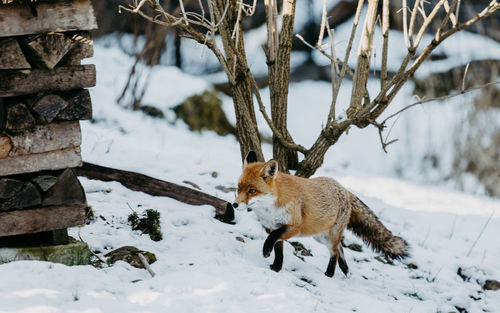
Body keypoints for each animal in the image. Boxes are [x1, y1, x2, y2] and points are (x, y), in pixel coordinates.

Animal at [232, 151, 408, 276]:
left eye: (252, 191)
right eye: (239, 188)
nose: (234, 204)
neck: (270, 208)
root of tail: (344, 189)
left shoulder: (293, 227)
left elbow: (272, 239)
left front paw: (266, 252)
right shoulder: (274, 227)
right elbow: (278, 250)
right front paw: (276, 267)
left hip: (328, 237)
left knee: (335, 252)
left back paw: (329, 274)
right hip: (320, 236)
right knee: (340, 248)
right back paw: (345, 269)